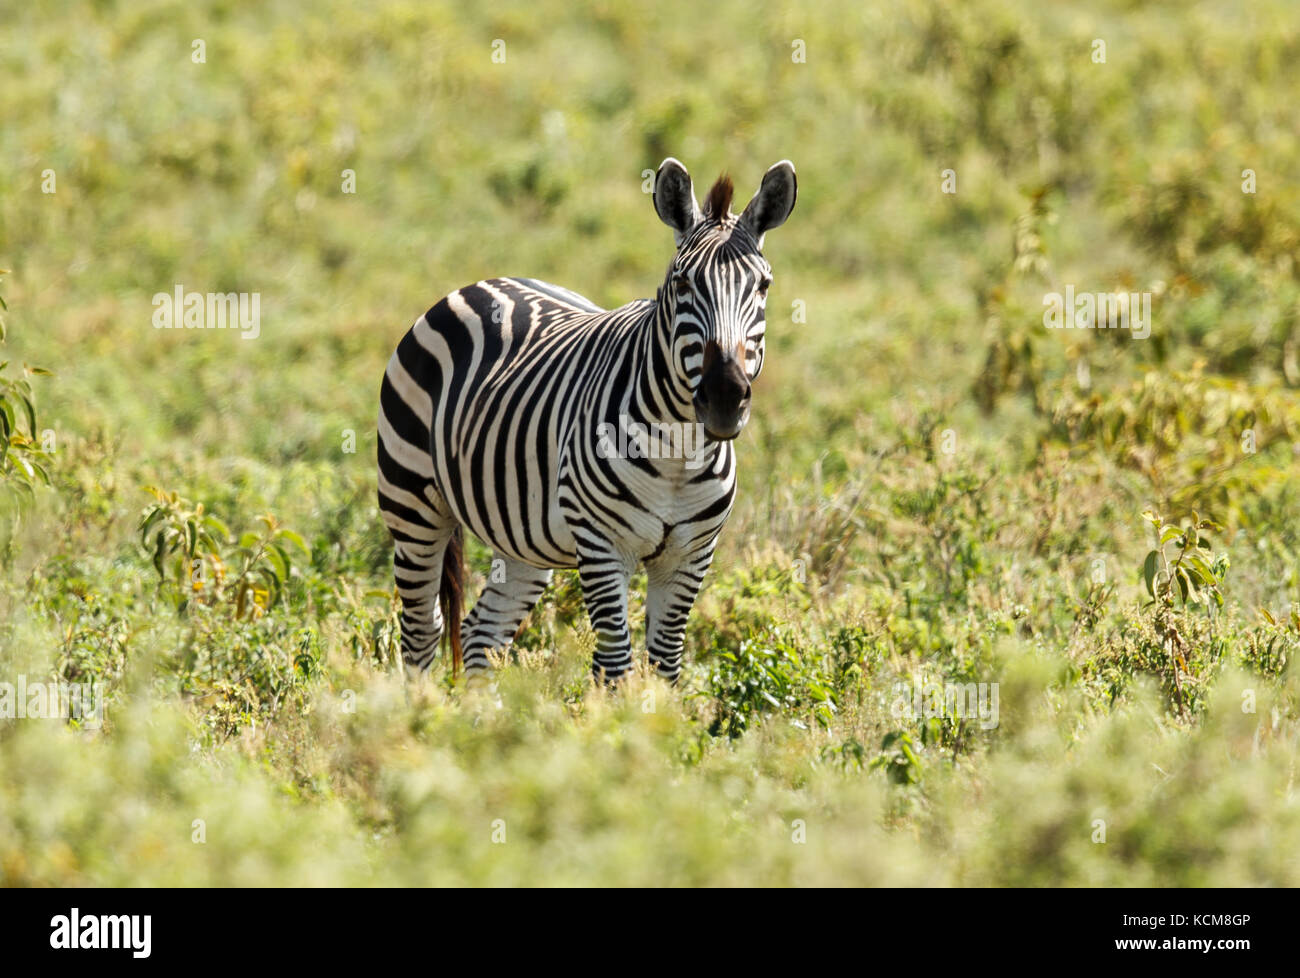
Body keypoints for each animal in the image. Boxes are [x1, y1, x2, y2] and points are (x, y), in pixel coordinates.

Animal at [377, 157, 797, 684]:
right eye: (682, 284)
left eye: (763, 286)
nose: (725, 397)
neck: (679, 454)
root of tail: (482, 284)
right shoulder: (601, 546)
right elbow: (615, 665)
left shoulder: (691, 556)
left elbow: (665, 665)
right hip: (411, 501)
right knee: (423, 628)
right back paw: (418, 707)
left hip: (521, 537)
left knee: (480, 633)